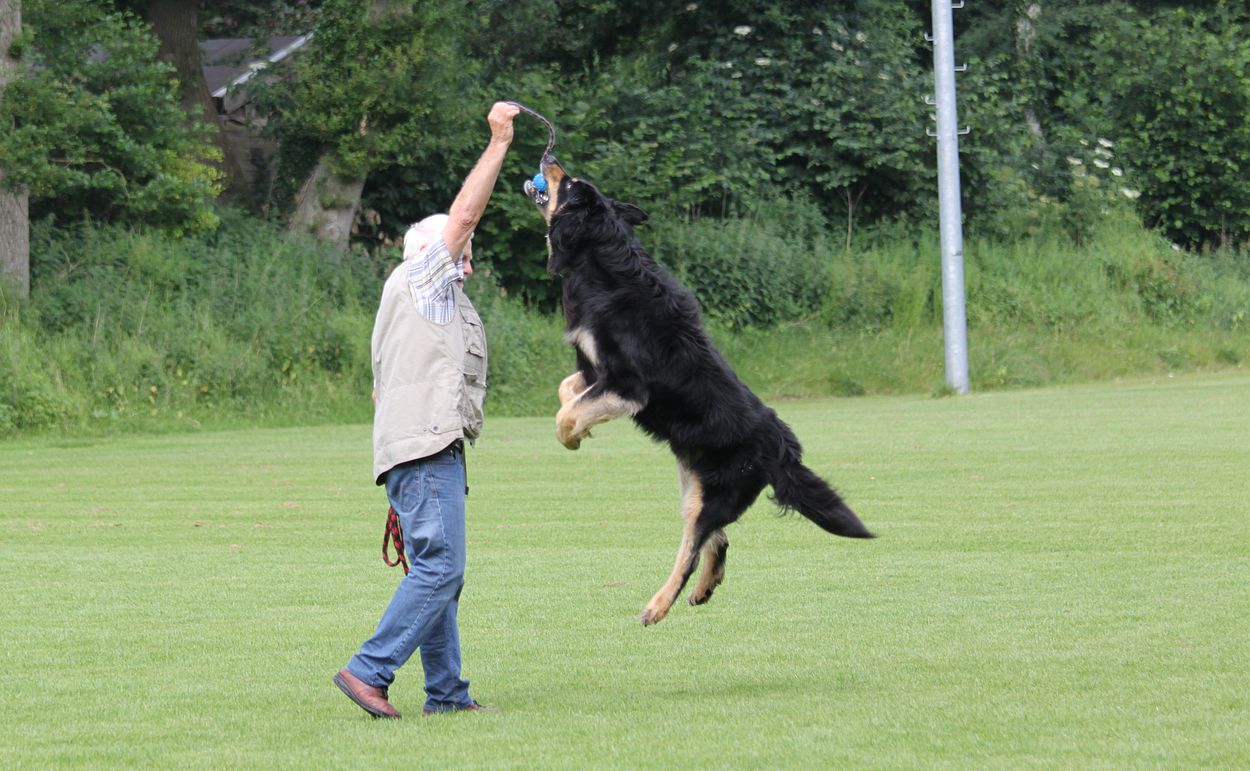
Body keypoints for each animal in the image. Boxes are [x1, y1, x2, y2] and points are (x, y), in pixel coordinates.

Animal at [525, 157, 874, 626]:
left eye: (570, 184)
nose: (549, 159)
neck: (603, 268)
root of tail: (782, 446)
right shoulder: (595, 371)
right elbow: (568, 394)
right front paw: (581, 430)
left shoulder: (627, 386)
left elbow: (567, 413)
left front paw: (571, 437)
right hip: (695, 490)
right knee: (718, 540)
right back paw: (704, 589)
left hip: (712, 496)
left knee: (692, 550)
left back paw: (658, 605)